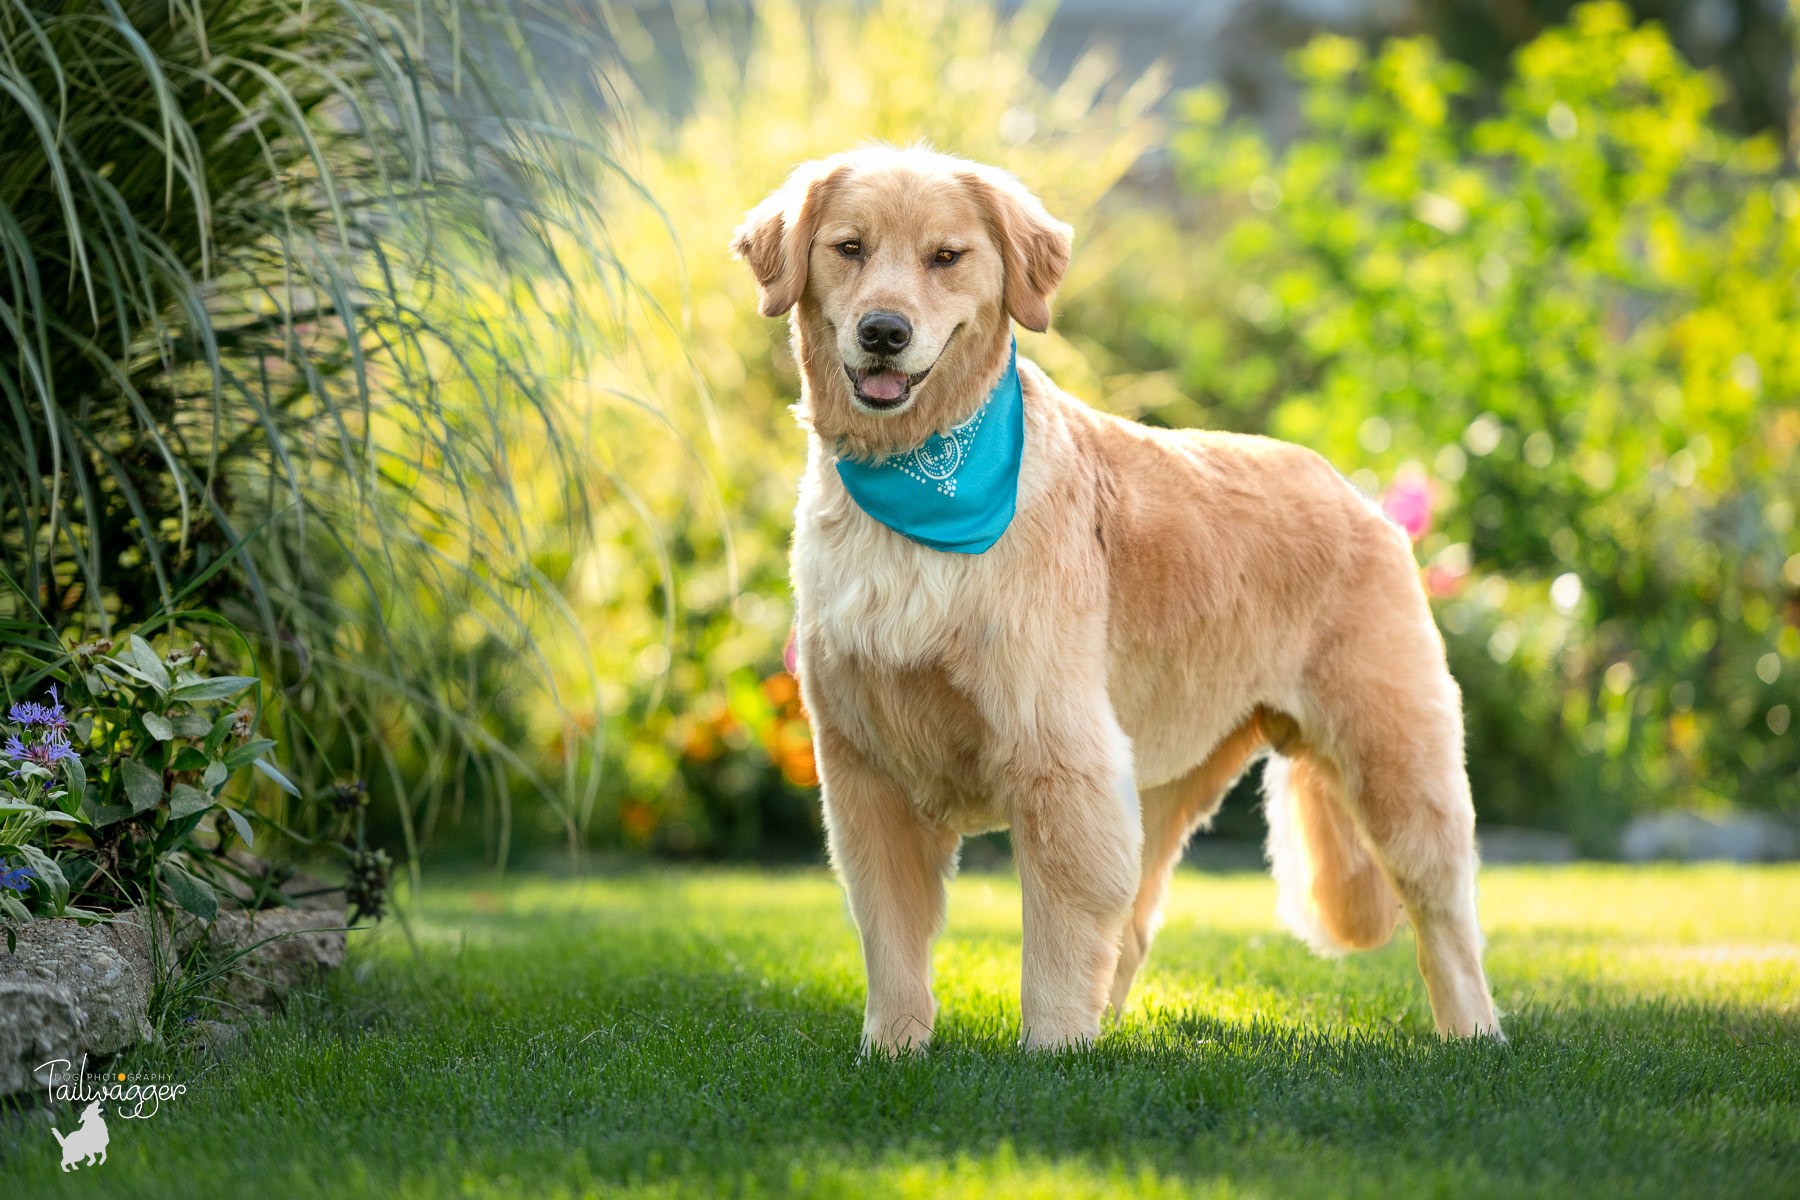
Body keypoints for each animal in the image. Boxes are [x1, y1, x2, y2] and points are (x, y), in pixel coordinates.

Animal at [730, 147, 1504, 1050]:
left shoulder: (1059, 754)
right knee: (1131, 924)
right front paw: (893, 1051)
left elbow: (1058, 934)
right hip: (1163, 776)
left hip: (1395, 761)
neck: (922, 481)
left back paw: (1475, 1034)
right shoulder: (865, 768)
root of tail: (1359, 495)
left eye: (946, 257)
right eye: (849, 248)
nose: (883, 332)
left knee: (1447, 916)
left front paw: (1052, 1052)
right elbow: (893, 939)